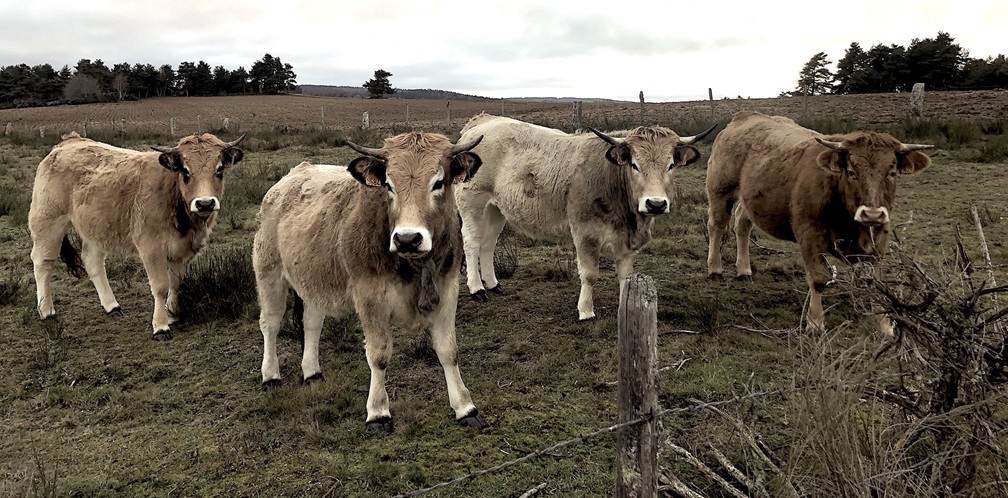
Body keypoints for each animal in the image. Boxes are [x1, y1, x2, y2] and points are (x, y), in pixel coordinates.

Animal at [29, 131, 245, 342]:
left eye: (219, 169)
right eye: (185, 171)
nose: (205, 203)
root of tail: (69, 141)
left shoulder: (182, 250)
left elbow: (176, 283)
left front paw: (172, 314)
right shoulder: (151, 248)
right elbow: (160, 286)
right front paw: (160, 326)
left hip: (96, 230)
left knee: (92, 262)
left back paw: (112, 306)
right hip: (48, 223)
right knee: (42, 262)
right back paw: (46, 310)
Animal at [254, 131, 485, 431]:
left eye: (438, 182)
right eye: (388, 184)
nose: (407, 238)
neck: (415, 267)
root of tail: (291, 176)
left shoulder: (447, 291)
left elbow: (448, 350)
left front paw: (465, 407)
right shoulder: (370, 298)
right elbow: (379, 354)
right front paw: (378, 412)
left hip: (315, 281)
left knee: (312, 323)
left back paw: (312, 372)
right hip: (269, 273)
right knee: (270, 323)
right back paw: (270, 375)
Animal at [457, 113, 717, 318]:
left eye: (671, 165)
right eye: (634, 164)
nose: (655, 203)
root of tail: (483, 122)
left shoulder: (624, 240)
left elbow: (625, 275)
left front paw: (625, 307)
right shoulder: (585, 233)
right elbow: (590, 274)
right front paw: (585, 311)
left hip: (496, 209)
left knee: (488, 244)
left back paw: (493, 284)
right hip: (473, 204)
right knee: (472, 244)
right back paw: (477, 289)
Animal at [705, 109, 931, 334]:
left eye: (892, 172)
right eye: (851, 172)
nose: (872, 214)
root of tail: (746, 115)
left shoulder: (877, 240)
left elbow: (876, 282)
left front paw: (884, 325)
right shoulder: (810, 236)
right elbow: (819, 278)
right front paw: (815, 322)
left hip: (747, 198)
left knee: (742, 224)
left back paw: (744, 269)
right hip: (720, 191)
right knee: (716, 226)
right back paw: (715, 268)